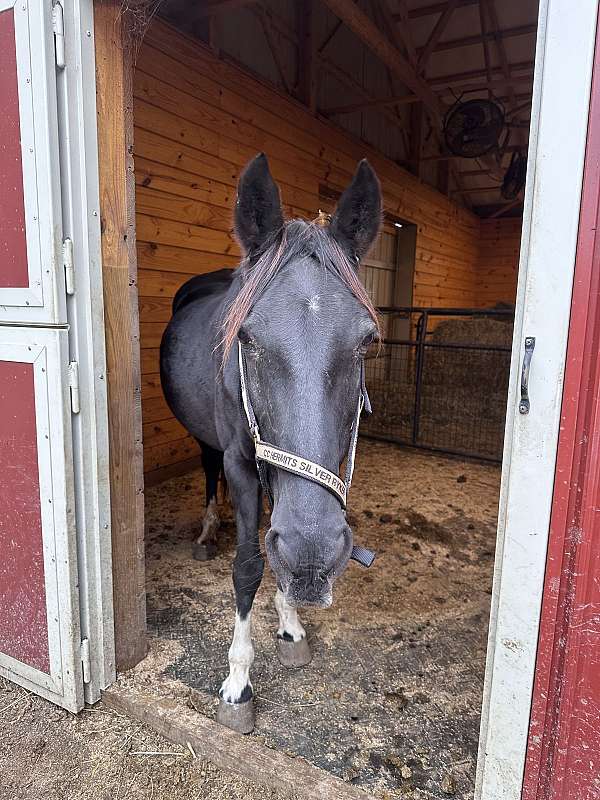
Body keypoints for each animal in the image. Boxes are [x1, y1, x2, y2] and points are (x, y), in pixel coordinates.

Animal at [160, 153, 382, 733]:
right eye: (247, 338)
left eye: (367, 342)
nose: (314, 557)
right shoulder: (243, 463)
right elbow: (248, 566)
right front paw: (237, 682)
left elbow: (277, 548)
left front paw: (290, 625)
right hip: (209, 443)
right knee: (207, 469)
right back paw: (207, 531)